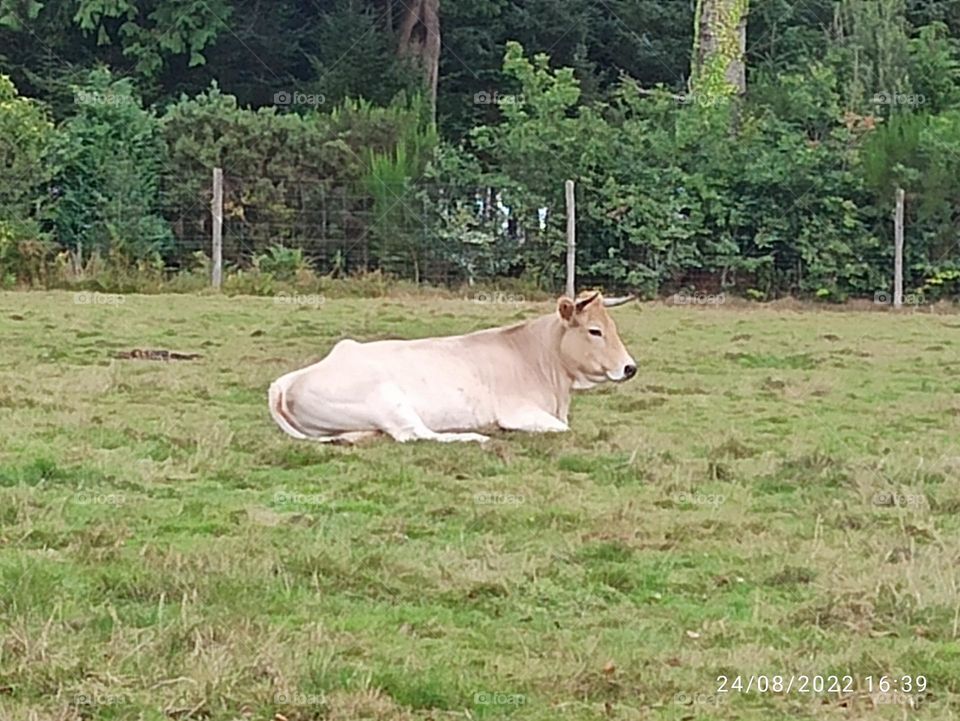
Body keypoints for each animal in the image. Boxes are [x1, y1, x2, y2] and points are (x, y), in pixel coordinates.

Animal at [268, 290, 636, 443]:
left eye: (613, 327)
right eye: (594, 331)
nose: (630, 368)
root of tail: (286, 382)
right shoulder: (519, 412)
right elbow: (561, 429)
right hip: (387, 398)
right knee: (413, 434)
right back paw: (475, 436)